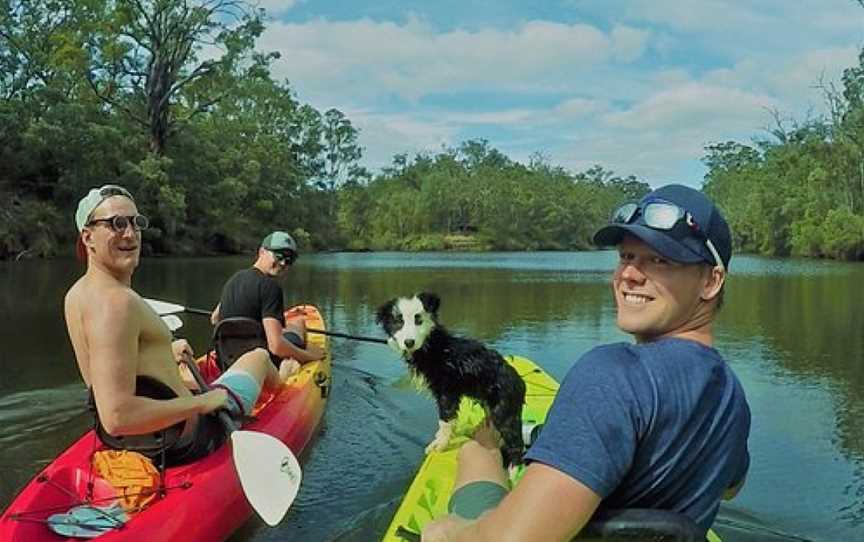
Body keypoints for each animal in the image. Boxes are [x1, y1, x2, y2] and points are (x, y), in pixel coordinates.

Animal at [376, 294, 528, 468]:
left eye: (418, 320)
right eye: (398, 322)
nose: (409, 342)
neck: (433, 348)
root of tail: (520, 383)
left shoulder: (447, 392)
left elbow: (445, 420)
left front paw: (440, 444)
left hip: (503, 413)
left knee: (517, 446)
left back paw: (514, 468)